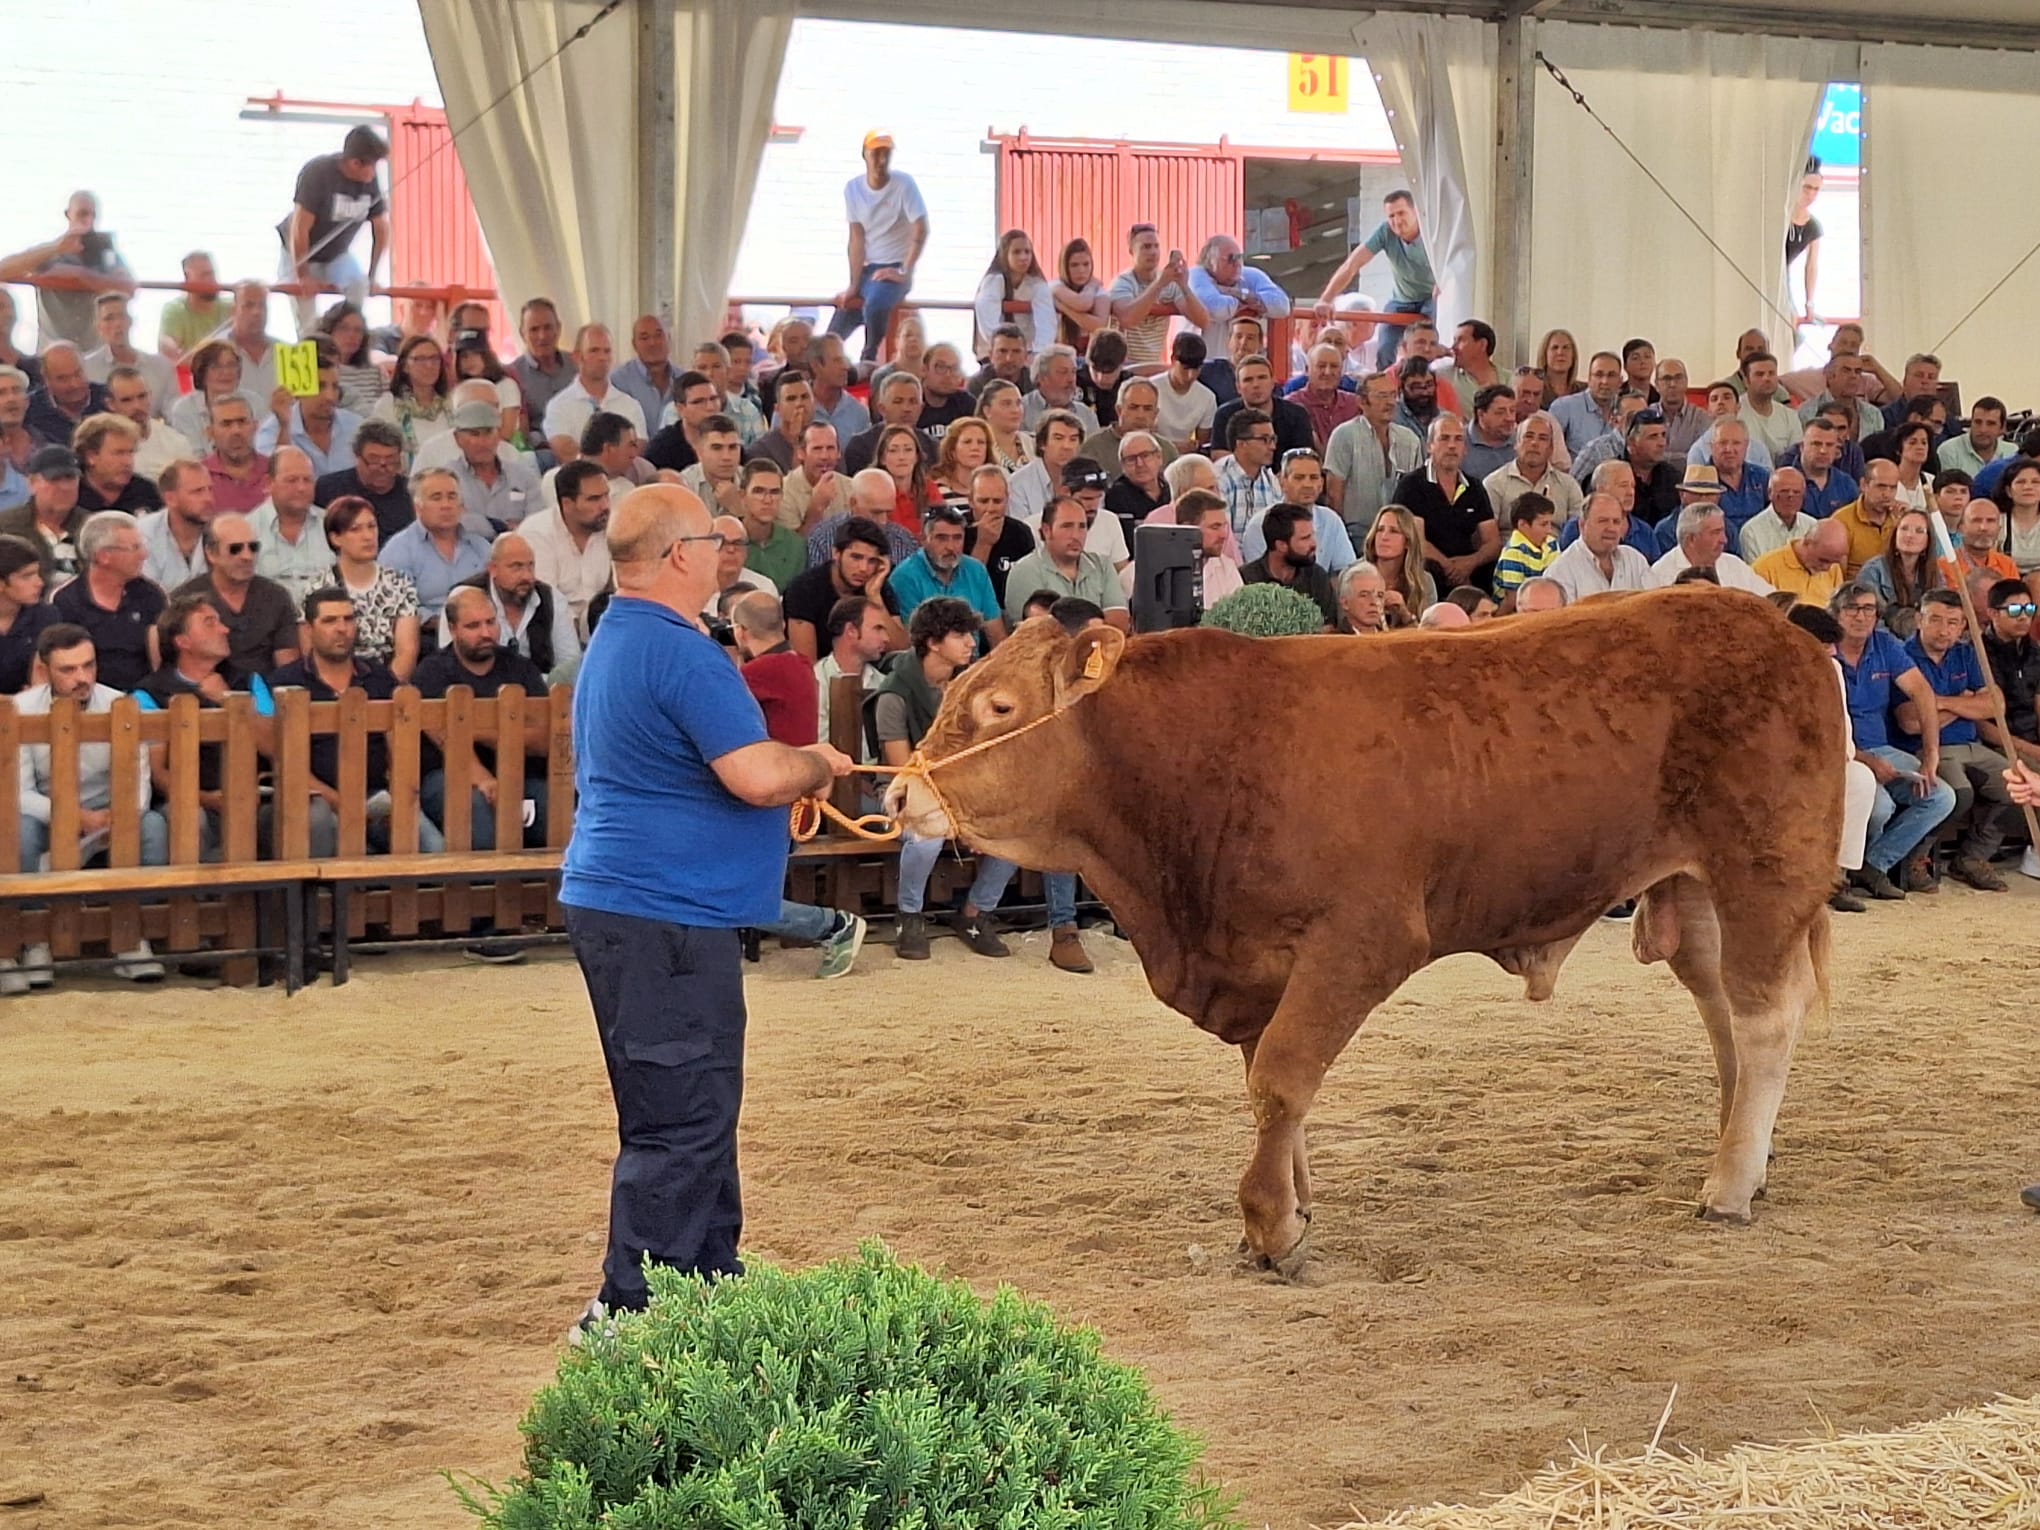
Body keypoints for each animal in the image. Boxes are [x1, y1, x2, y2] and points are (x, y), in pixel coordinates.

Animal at [885, 583, 1844, 1272]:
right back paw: (1744, 1157)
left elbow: (1281, 1078)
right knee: (1724, 1012)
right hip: (1696, 888)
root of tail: (1776, 620)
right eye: (951, 688)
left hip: (1765, 868)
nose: (897, 795)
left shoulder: (1360, 941)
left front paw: (1271, 1229)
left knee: (1764, 1016)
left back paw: (1729, 1184)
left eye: (999, 707)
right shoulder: (1258, 958)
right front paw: (1294, 1203)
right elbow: (1270, 1082)